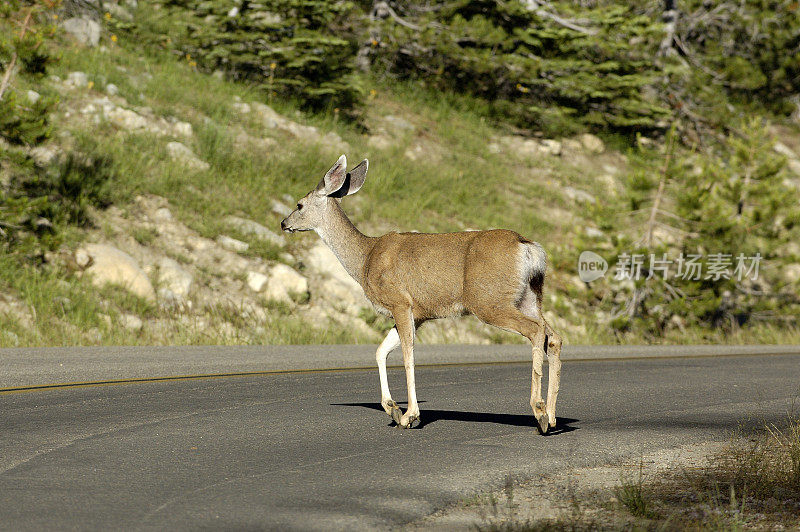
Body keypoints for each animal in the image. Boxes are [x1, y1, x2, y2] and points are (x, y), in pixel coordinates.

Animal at [282, 154, 564, 432]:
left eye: (299, 204)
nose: (284, 223)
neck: (365, 258)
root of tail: (528, 247)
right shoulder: (417, 314)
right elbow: (381, 351)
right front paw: (393, 408)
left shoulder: (400, 301)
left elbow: (408, 354)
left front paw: (409, 415)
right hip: (529, 297)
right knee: (553, 336)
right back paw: (551, 416)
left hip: (489, 300)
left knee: (535, 331)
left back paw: (539, 412)